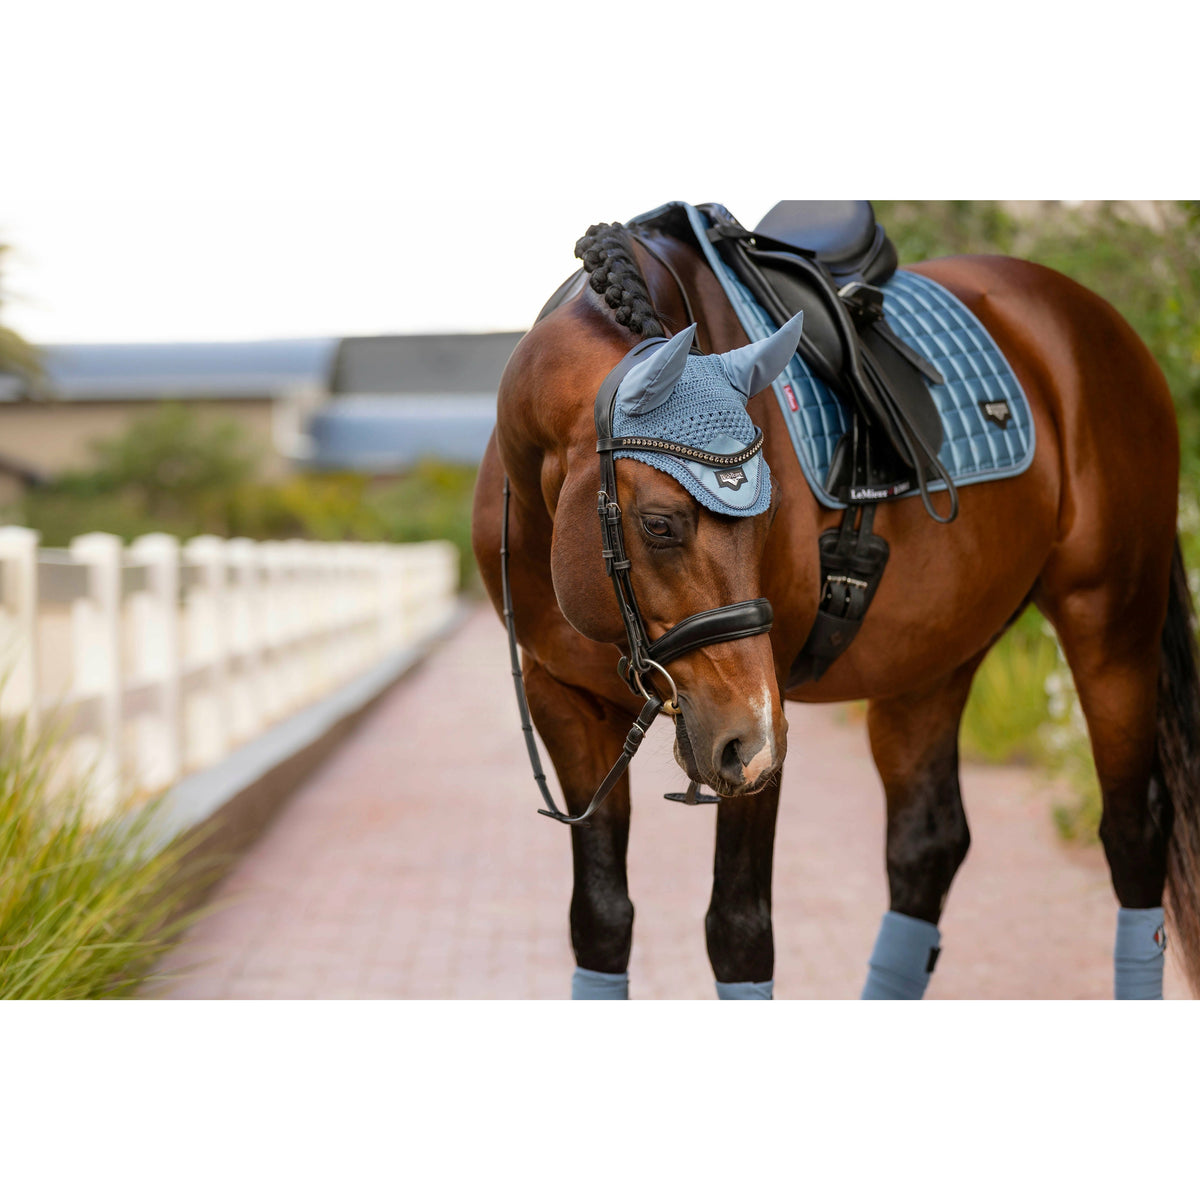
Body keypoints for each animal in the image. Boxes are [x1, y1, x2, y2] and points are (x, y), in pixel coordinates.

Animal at [470, 204, 1200, 993]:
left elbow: (739, 932)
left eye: (767, 515)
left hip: (1111, 626)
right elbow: (601, 923)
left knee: (1133, 833)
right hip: (929, 662)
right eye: (660, 524)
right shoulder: (563, 701)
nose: (748, 741)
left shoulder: (764, 723)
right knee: (927, 847)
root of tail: (1094, 316)